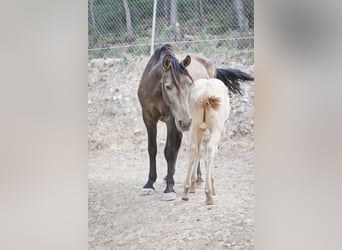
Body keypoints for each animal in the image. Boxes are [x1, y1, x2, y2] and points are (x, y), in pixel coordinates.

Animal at [138, 44, 252, 201]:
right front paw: (149, 184)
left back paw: (197, 179)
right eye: (168, 86)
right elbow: (152, 149)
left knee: (195, 149)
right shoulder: (148, 118)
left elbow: (169, 151)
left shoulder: (172, 121)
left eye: (189, 84)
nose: (186, 121)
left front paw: (169, 188)